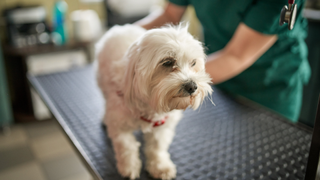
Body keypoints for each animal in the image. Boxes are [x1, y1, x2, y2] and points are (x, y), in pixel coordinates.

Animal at [96, 24, 214, 180]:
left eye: (193, 63)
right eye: (167, 62)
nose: (192, 86)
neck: (150, 106)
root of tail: (121, 27)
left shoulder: (162, 125)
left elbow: (157, 147)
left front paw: (160, 167)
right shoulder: (119, 124)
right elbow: (126, 146)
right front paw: (129, 167)